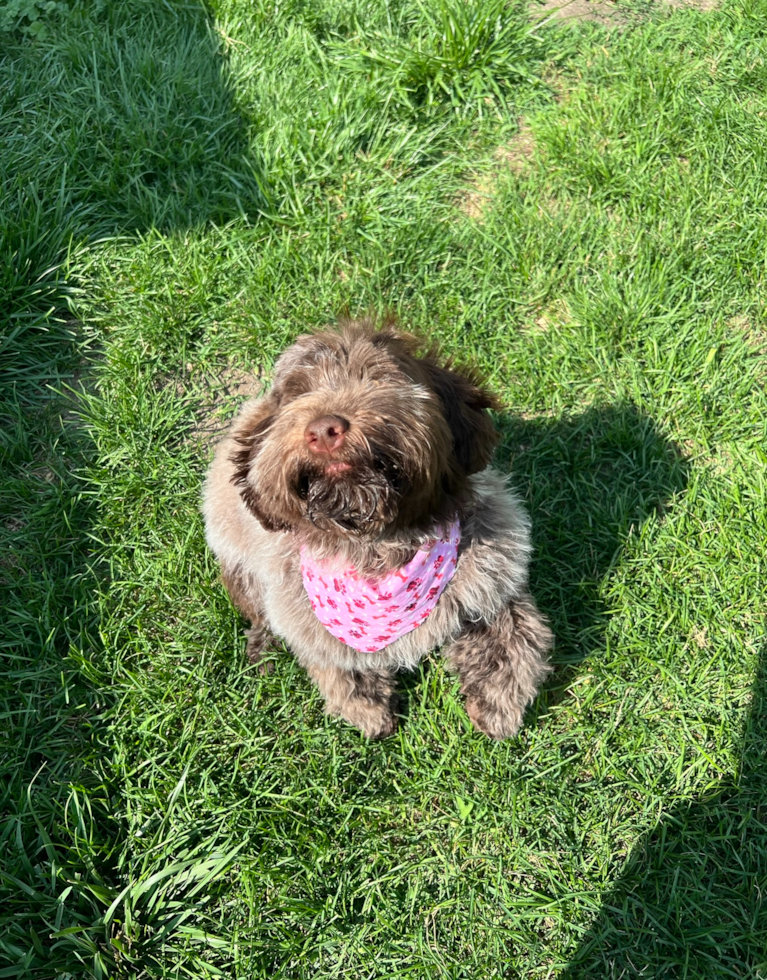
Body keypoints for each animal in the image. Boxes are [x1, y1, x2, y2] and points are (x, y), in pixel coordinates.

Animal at [204, 318, 552, 740]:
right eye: (295, 394)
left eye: (376, 376)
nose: (325, 429)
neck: (379, 548)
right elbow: (338, 662)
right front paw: (368, 707)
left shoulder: (493, 579)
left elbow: (514, 637)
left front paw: (499, 705)